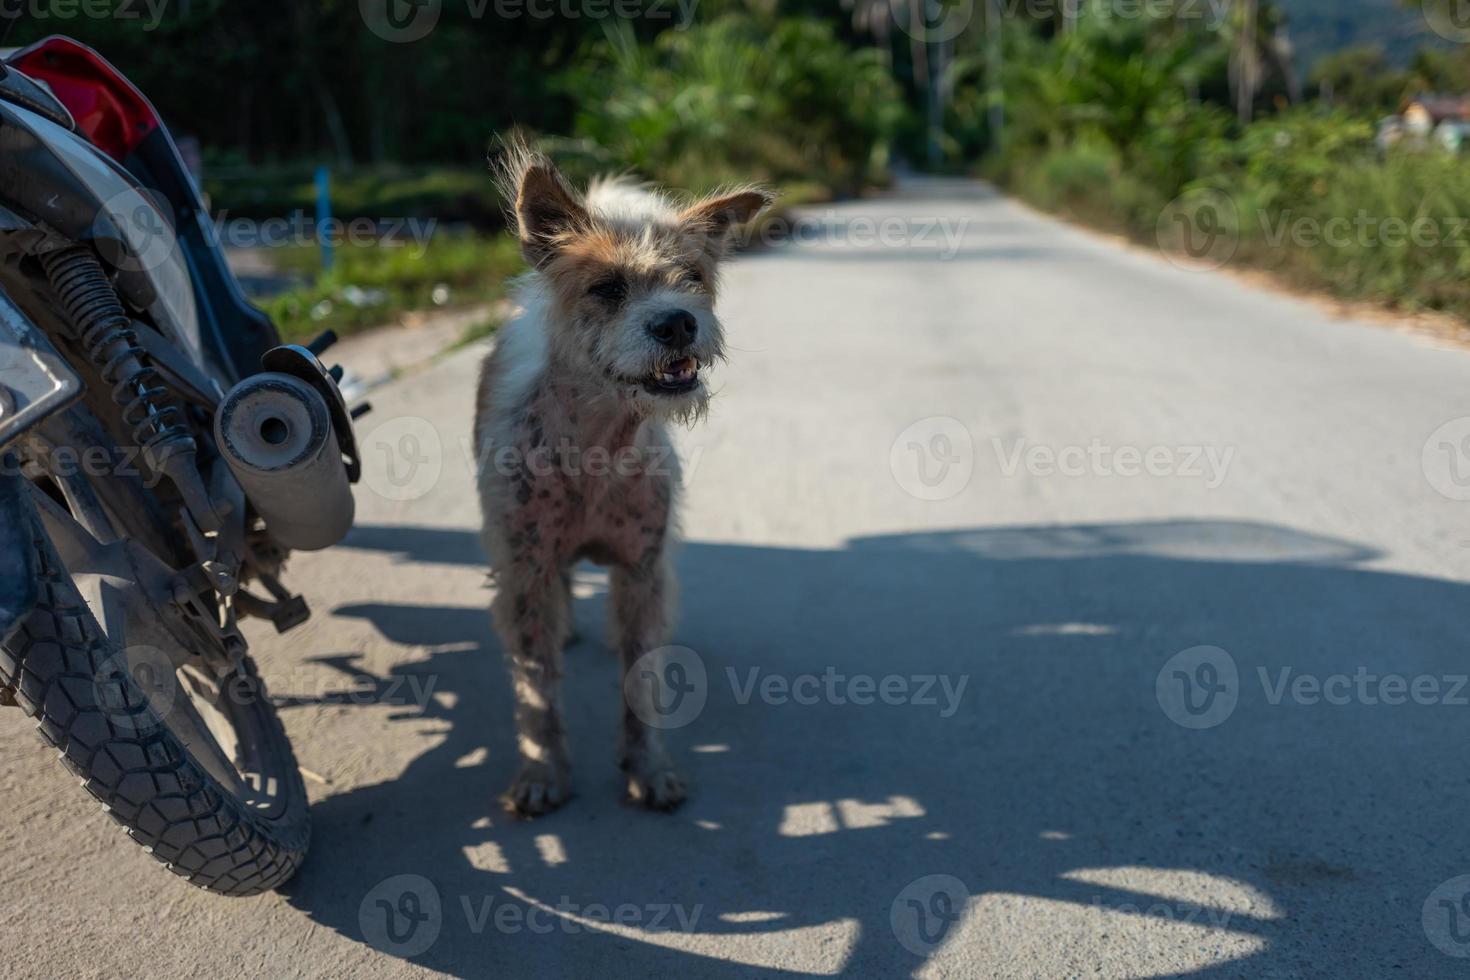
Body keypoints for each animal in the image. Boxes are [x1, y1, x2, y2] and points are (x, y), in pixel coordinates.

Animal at [476, 141, 776, 816]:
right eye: (607, 288)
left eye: (692, 278)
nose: (678, 323)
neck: (597, 446)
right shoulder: (524, 573)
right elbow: (536, 692)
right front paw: (542, 772)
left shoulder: (641, 568)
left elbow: (643, 684)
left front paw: (649, 767)